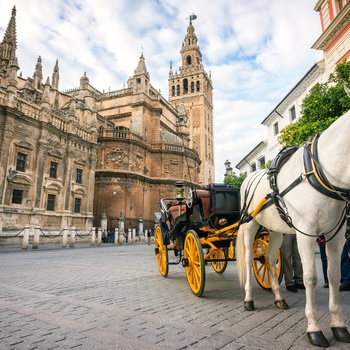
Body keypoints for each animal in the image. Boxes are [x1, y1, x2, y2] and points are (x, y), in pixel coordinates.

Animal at [237, 109, 350, 348]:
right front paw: (314, 329)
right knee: (250, 258)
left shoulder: (335, 236)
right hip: (250, 224)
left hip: (276, 229)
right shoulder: (306, 234)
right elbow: (310, 278)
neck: (320, 173)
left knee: (269, 258)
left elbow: (333, 275)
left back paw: (279, 298)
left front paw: (338, 325)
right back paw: (248, 299)